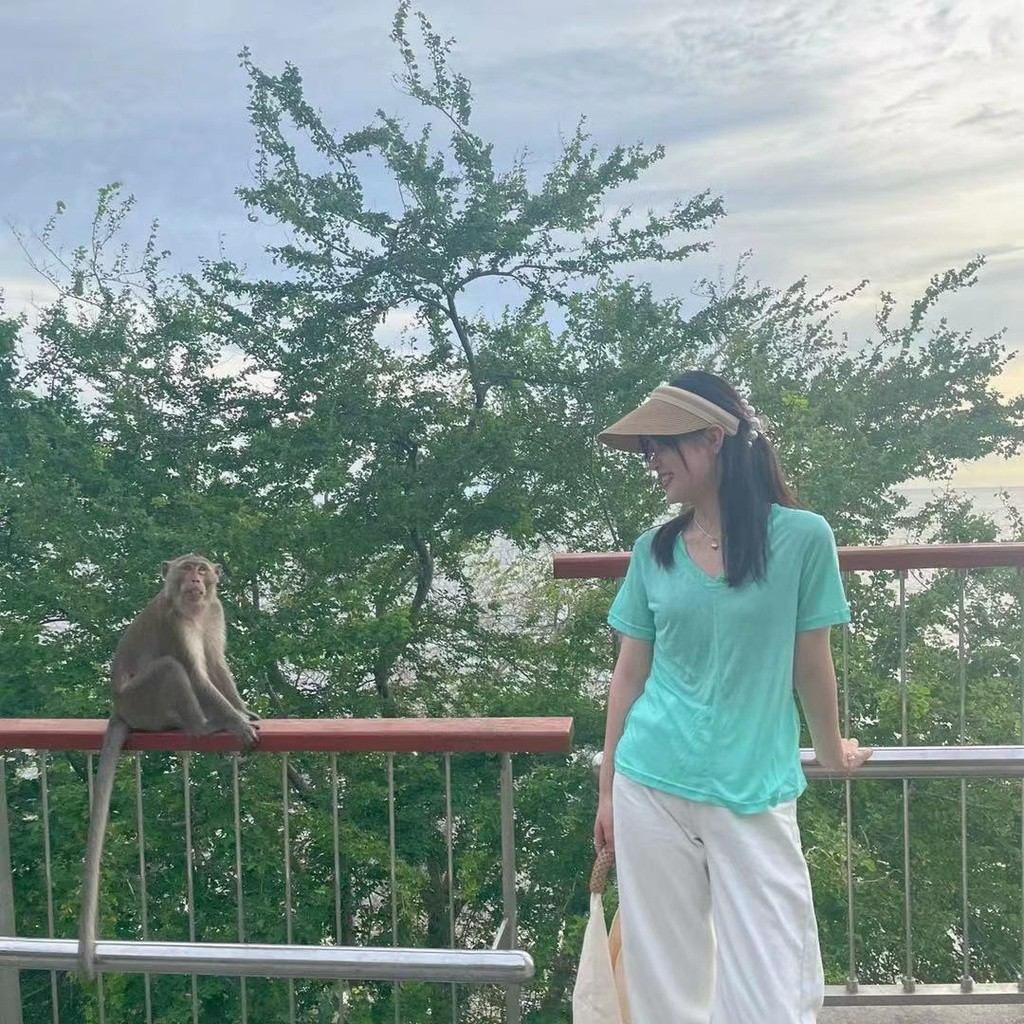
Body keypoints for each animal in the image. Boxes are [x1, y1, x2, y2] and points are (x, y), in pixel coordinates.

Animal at [78, 553, 259, 981]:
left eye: (203, 569)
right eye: (186, 568)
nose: (194, 579)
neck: (194, 609)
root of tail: (119, 708)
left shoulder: (215, 611)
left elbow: (217, 666)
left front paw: (243, 710)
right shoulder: (174, 623)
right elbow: (196, 673)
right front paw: (235, 722)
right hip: (143, 701)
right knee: (170, 670)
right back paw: (204, 727)